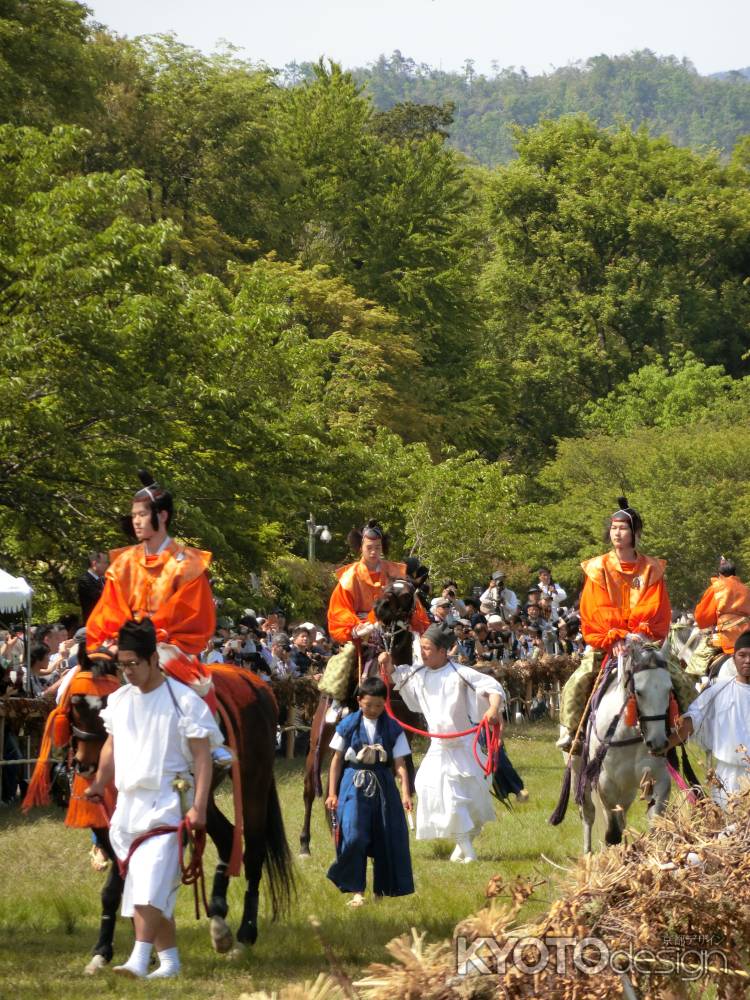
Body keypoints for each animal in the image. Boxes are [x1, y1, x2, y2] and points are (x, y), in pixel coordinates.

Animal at [302, 584, 428, 856]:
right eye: (388, 588)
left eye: (407, 593)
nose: (381, 606)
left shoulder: (402, 736)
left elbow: (406, 779)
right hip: (318, 739)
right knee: (309, 789)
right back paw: (304, 843)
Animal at [576, 640, 676, 852]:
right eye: (639, 692)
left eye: (669, 689)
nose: (657, 742)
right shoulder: (605, 783)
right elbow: (612, 834)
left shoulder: (658, 778)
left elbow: (656, 823)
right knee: (588, 815)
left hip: (627, 790)